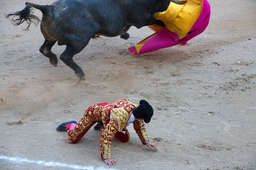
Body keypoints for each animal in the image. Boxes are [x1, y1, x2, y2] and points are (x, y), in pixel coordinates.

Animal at [6, 0, 186, 79]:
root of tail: (49, 8)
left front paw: (125, 34)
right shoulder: (140, 18)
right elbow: (156, 19)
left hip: (51, 37)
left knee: (44, 49)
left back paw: (53, 61)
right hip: (80, 40)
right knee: (66, 56)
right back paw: (80, 74)